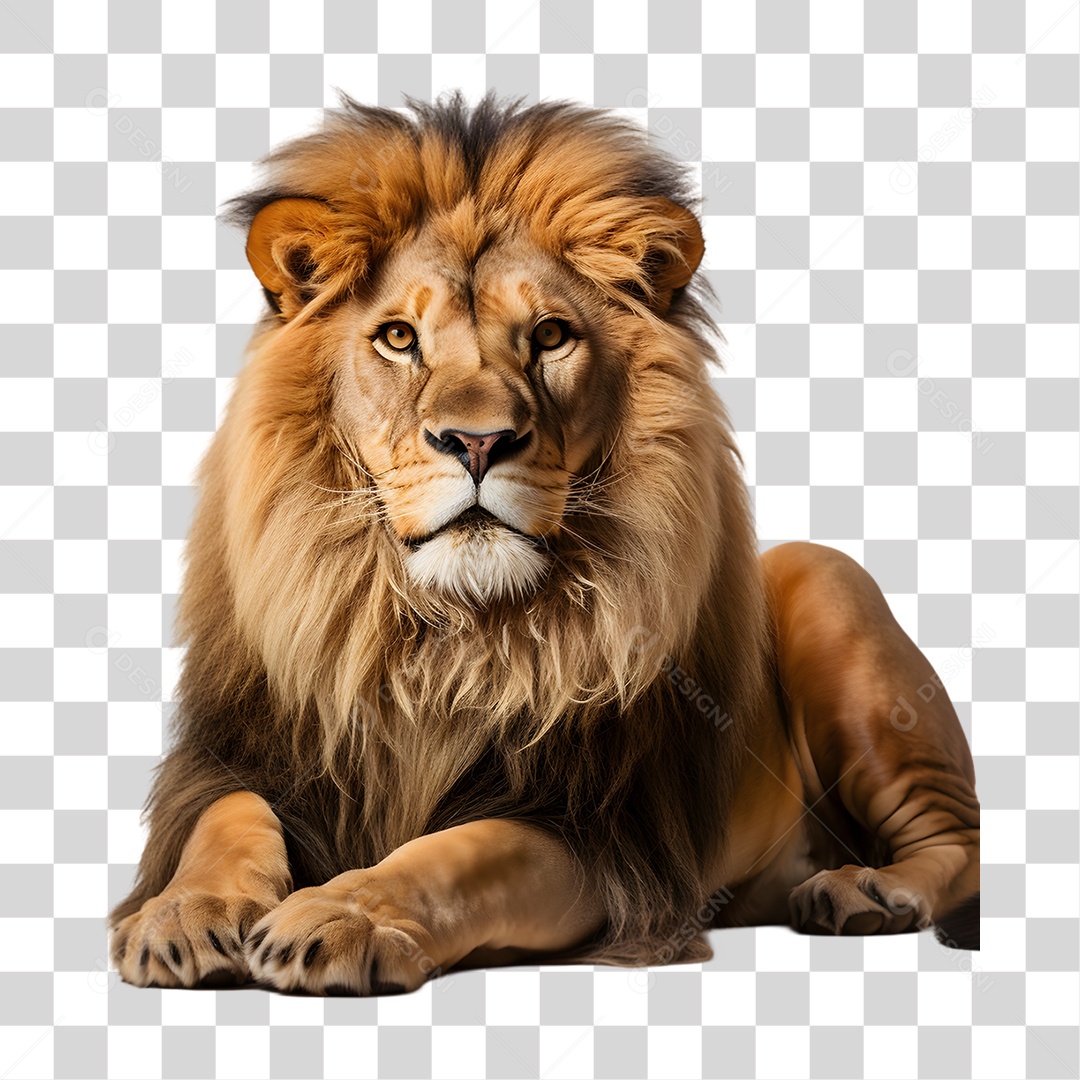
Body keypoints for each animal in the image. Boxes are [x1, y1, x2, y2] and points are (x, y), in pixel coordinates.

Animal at [108, 93, 980, 994]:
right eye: (398, 338)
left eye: (551, 335)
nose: (477, 441)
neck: (437, 639)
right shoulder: (247, 757)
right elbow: (226, 816)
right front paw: (184, 912)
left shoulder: (595, 832)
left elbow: (454, 856)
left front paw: (344, 915)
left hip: (829, 584)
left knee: (958, 840)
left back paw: (868, 892)